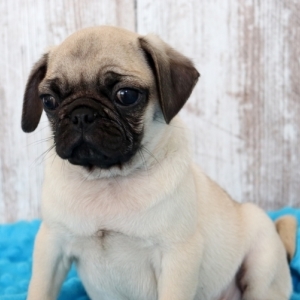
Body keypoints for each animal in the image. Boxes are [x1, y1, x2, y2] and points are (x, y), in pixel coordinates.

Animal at [22, 26, 294, 300]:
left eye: (126, 96)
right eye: (49, 101)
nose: (81, 114)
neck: (108, 178)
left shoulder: (177, 257)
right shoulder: (51, 245)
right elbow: (40, 289)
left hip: (262, 265)